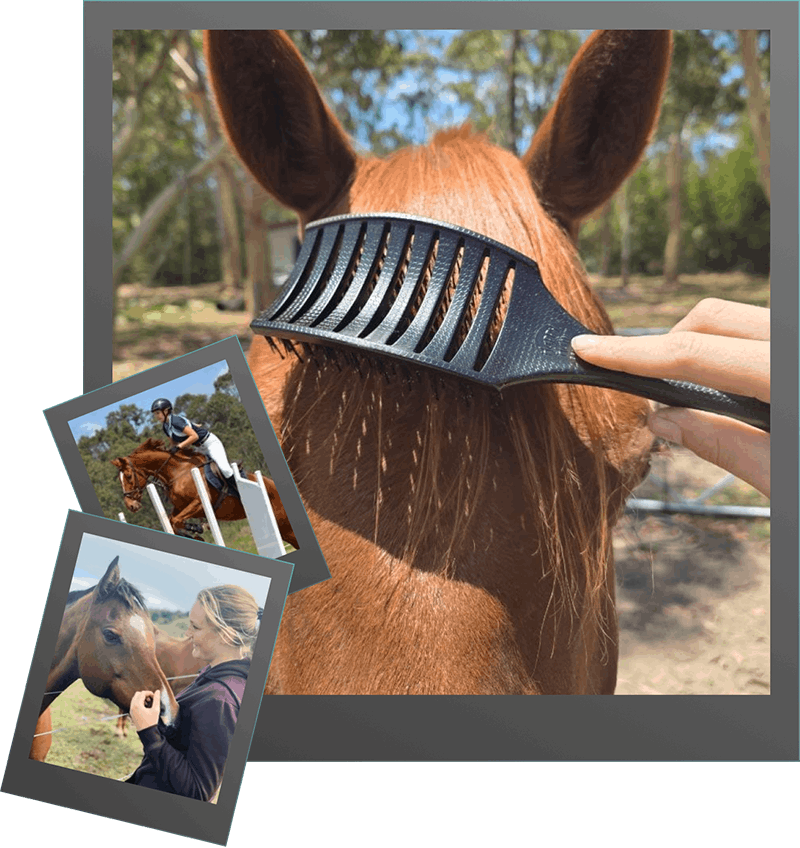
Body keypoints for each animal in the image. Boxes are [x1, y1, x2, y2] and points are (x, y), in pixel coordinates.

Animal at [112, 437, 298, 548]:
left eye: (128, 476)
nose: (130, 506)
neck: (178, 471)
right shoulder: (180, 507)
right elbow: (172, 520)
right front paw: (194, 534)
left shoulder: (200, 503)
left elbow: (177, 520)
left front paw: (198, 529)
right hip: (282, 528)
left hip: (283, 523)